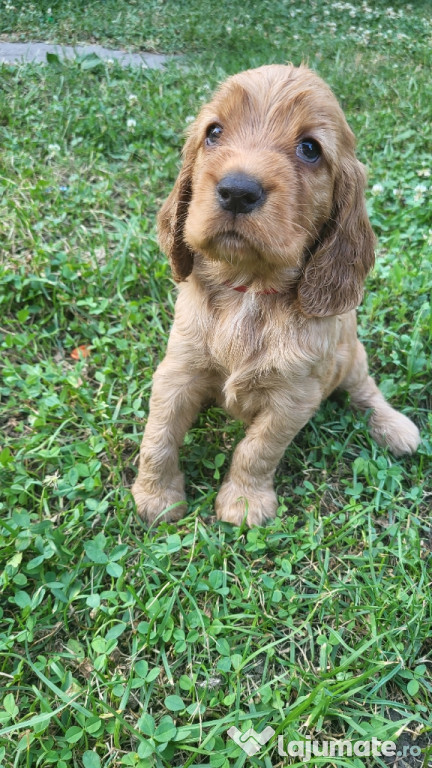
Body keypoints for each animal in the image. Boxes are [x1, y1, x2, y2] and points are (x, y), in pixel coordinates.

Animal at [132, 64, 422, 528]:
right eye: (214, 132)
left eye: (310, 149)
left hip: (351, 356)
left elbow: (257, 449)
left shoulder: (294, 398)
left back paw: (395, 428)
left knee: (366, 391)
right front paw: (156, 497)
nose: (237, 190)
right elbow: (158, 434)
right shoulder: (178, 370)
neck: (249, 291)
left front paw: (244, 503)